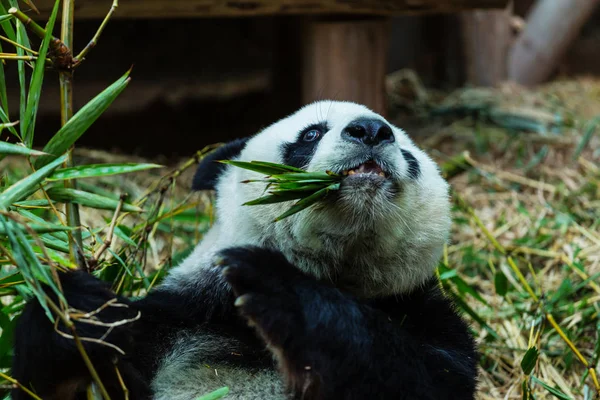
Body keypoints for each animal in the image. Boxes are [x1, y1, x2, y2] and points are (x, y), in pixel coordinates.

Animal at [9, 101, 478, 400]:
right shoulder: (184, 316)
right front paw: (77, 313)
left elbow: (422, 377)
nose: (371, 130)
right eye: (311, 134)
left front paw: (279, 290)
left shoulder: (418, 311)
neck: (336, 269)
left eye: (406, 151)